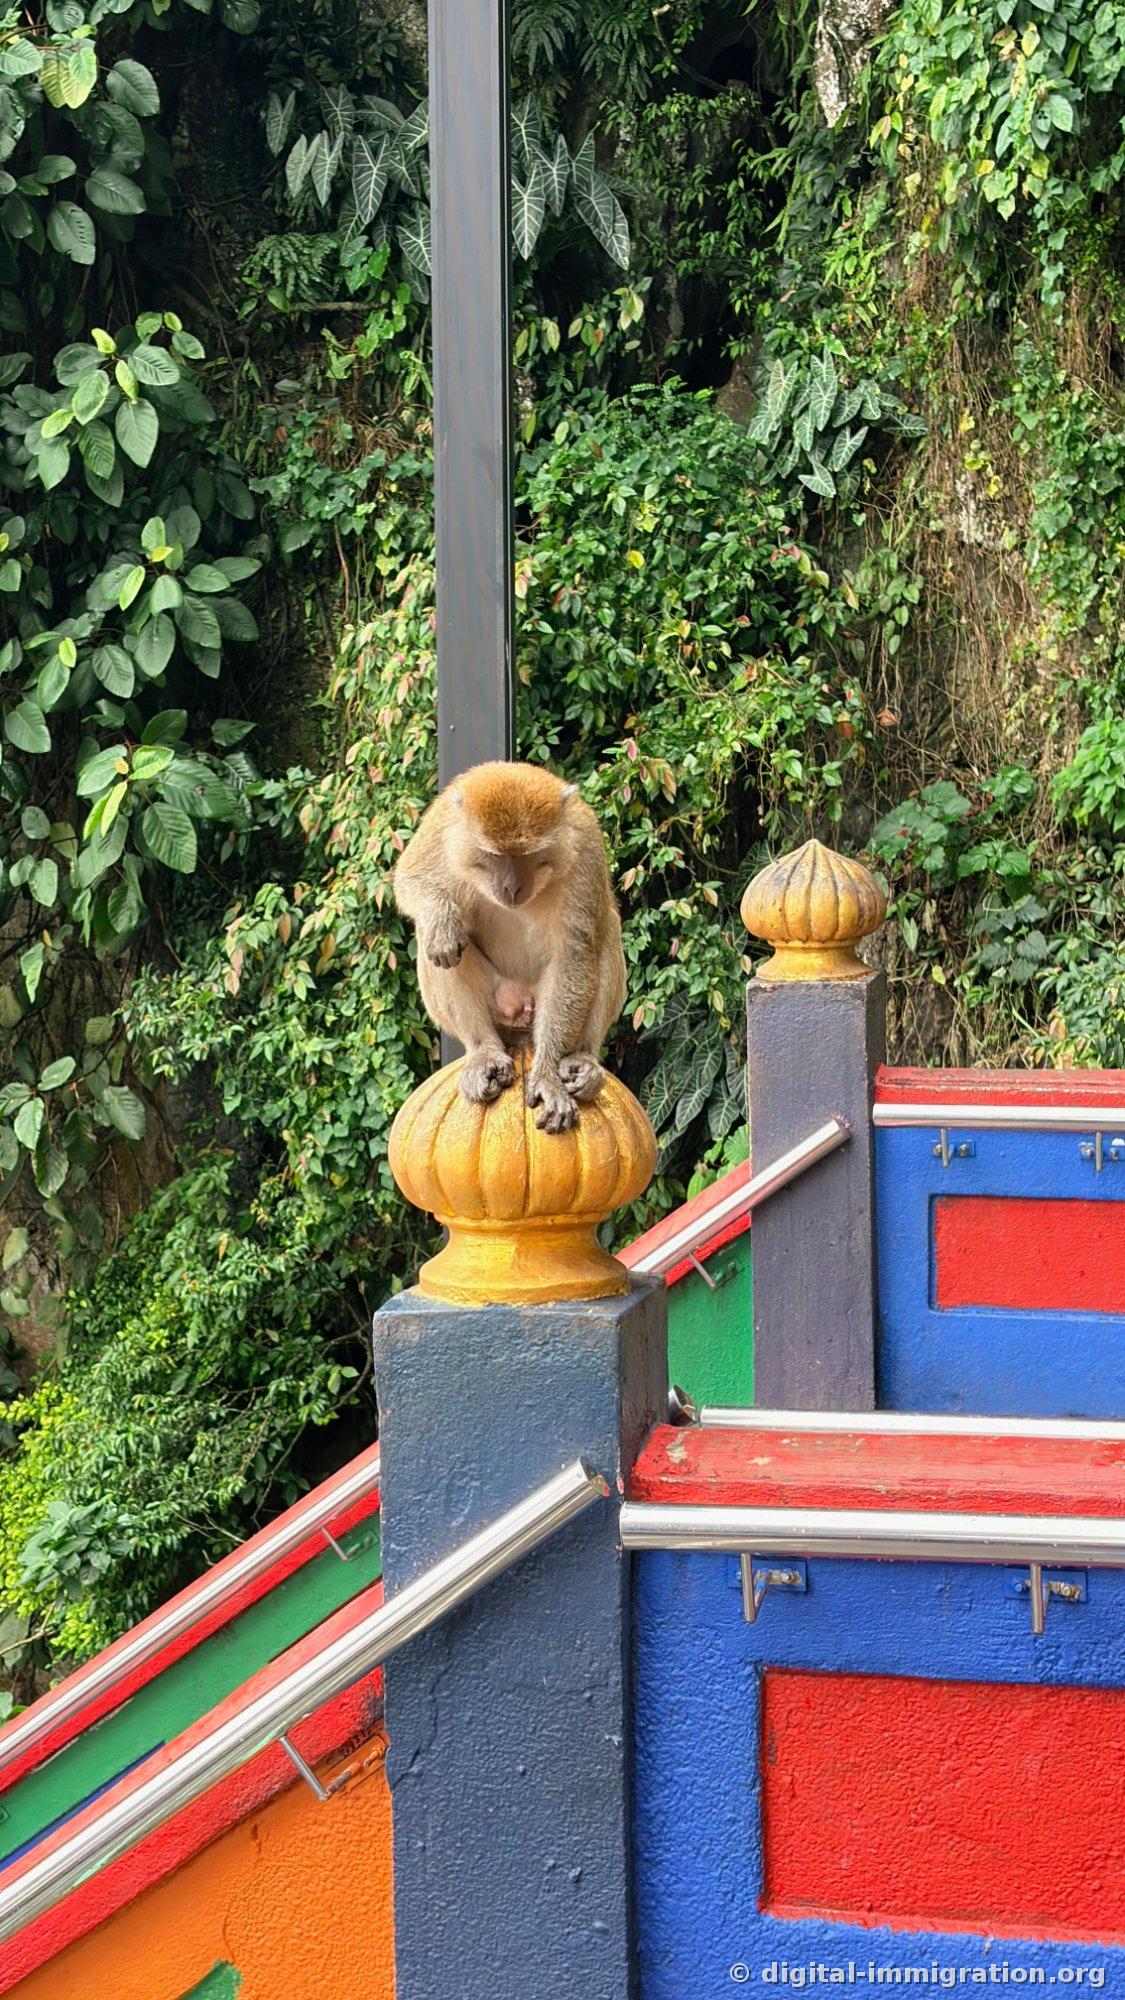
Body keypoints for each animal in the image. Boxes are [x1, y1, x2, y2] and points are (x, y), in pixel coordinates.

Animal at [393, 761, 627, 1132]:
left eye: (527, 855)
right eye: (494, 855)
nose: (511, 887)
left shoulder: (586, 844)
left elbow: (573, 954)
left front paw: (546, 1075)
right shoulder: (442, 823)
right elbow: (410, 878)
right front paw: (441, 919)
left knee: (605, 931)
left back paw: (585, 1060)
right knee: (434, 940)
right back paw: (483, 1051)